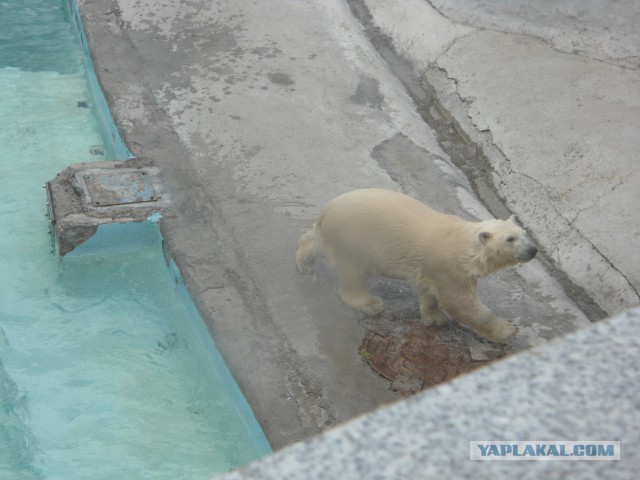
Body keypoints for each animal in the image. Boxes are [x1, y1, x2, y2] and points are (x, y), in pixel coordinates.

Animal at [298, 187, 536, 342]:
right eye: (510, 239)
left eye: (525, 233)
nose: (533, 250)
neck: (463, 245)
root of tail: (326, 212)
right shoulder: (450, 268)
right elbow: (460, 303)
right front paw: (509, 329)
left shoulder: (433, 271)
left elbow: (429, 292)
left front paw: (434, 317)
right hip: (353, 241)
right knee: (353, 276)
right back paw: (371, 303)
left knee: (315, 242)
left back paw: (304, 262)